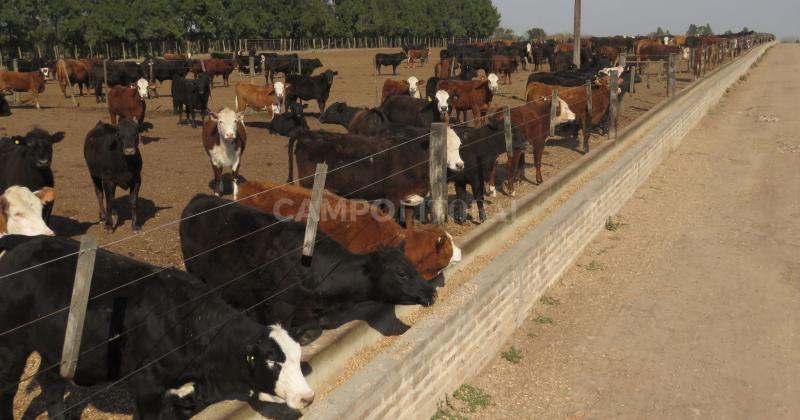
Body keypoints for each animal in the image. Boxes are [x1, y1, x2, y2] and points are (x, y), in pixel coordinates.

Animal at [0, 235, 316, 418]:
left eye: (298, 358)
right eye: (273, 362)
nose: (308, 397)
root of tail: (22, 246)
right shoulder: (146, 387)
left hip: (54, 348)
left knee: (51, 385)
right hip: (12, 346)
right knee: (9, 389)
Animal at [180, 194, 438, 344]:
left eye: (412, 266)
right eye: (401, 273)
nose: (431, 292)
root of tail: (198, 199)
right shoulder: (279, 307)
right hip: (199, 275)